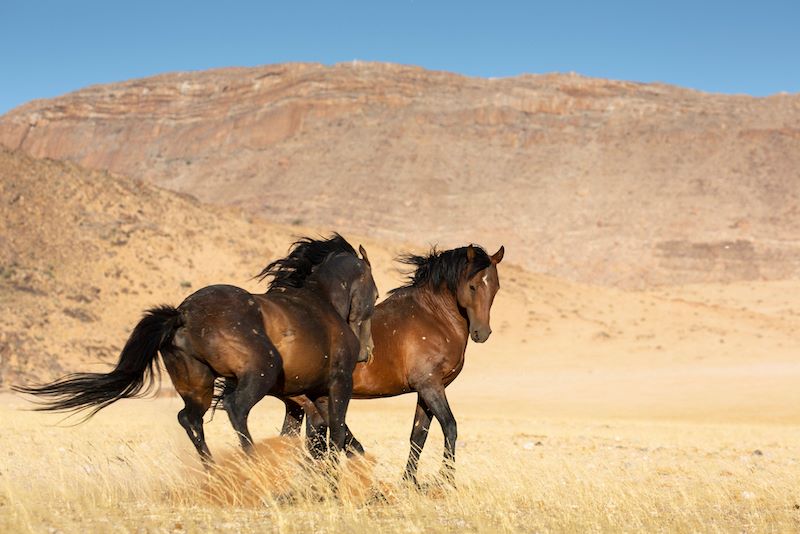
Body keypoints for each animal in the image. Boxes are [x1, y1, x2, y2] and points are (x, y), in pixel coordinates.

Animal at [14, 236, 378, 464]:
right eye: (374, 293)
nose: (367, 352)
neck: (323, 303)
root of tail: (182, 315)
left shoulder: (304, 393)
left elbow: (322, 432)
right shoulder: (337, 384)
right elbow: (336, 429)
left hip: (198, 384)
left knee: (189, 418)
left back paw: (212, 469)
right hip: (259, 371)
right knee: (234, 408)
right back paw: (251, 463)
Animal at [280, 245, 500, 488]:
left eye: (496, 287)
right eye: (472, 286)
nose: (482, 333)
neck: (433, 316)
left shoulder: (426, 391)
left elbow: (418, 435)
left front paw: (409, 482)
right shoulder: (430, 386)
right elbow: (450, 427)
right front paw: (446, 480)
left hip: (296, 405)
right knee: (322, 438)